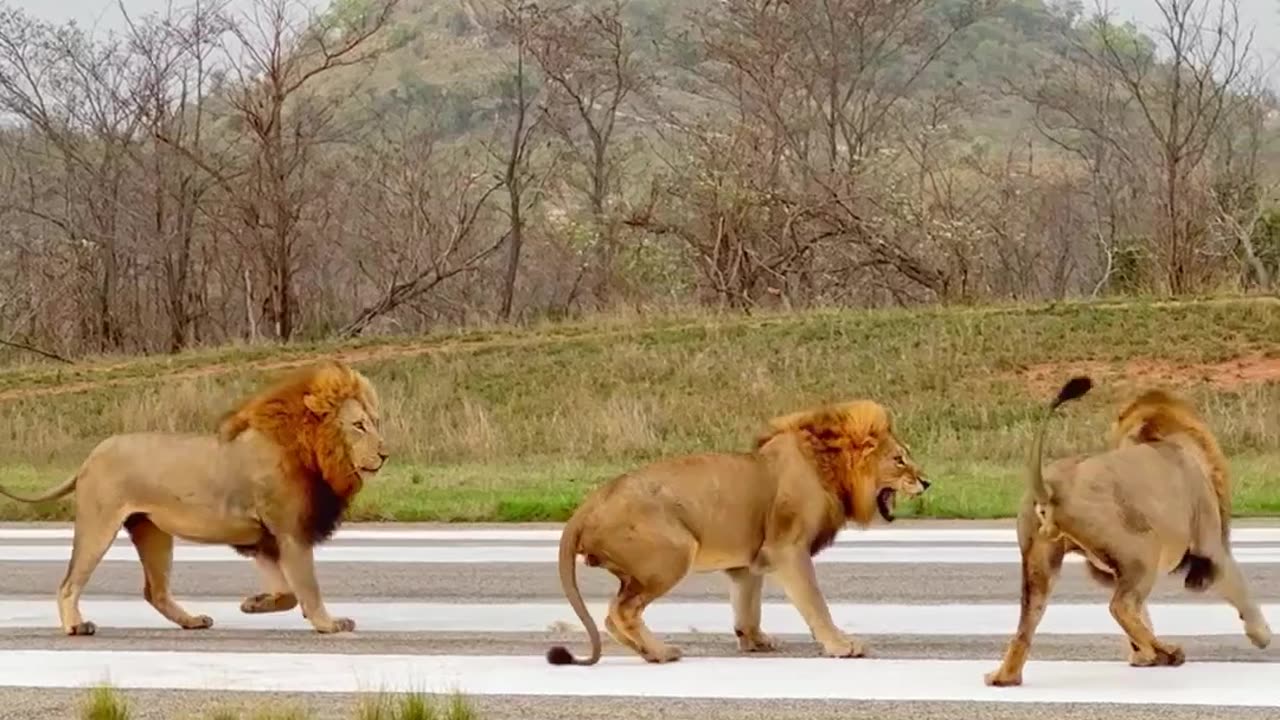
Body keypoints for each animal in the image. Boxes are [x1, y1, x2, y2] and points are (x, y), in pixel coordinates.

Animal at [0, 358, 384, 632]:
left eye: (375, 422)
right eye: (359, 425)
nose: (385, 453)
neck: (308, 451)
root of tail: (90, 457)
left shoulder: (265, 539)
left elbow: (288, 592)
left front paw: (257, 602)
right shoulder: (290, 533)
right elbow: (308, 587)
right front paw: (328, 624)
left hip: (152, 532)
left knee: (154, 591)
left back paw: (192, 621)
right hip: (99, 523)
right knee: (69, 582)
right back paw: (76, 625)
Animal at [542, 394, 931, 666]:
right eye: (900, 460)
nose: (927, 482)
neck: (828, 469)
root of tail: (588, 504)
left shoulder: (747, 563)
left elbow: (748, 606)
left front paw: (755, 641)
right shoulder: (788, 548)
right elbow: (815, 602)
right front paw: (841, 645)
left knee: (614, 617)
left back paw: (651, 652)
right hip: (673, 553)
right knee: (619, 613)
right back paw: (663, 652)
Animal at [983, 376, 1264, 681]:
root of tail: (1049, 487)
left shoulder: (1112, 573)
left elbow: (1144, 615)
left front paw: (1139, 656)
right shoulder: (1210, 546)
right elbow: (1240, 588)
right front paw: (1262, 635)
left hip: (1040, 565)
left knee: (1025, 628)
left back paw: (1003, 678)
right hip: (1143, 551)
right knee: (1121, 606)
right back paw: (1163, 652)